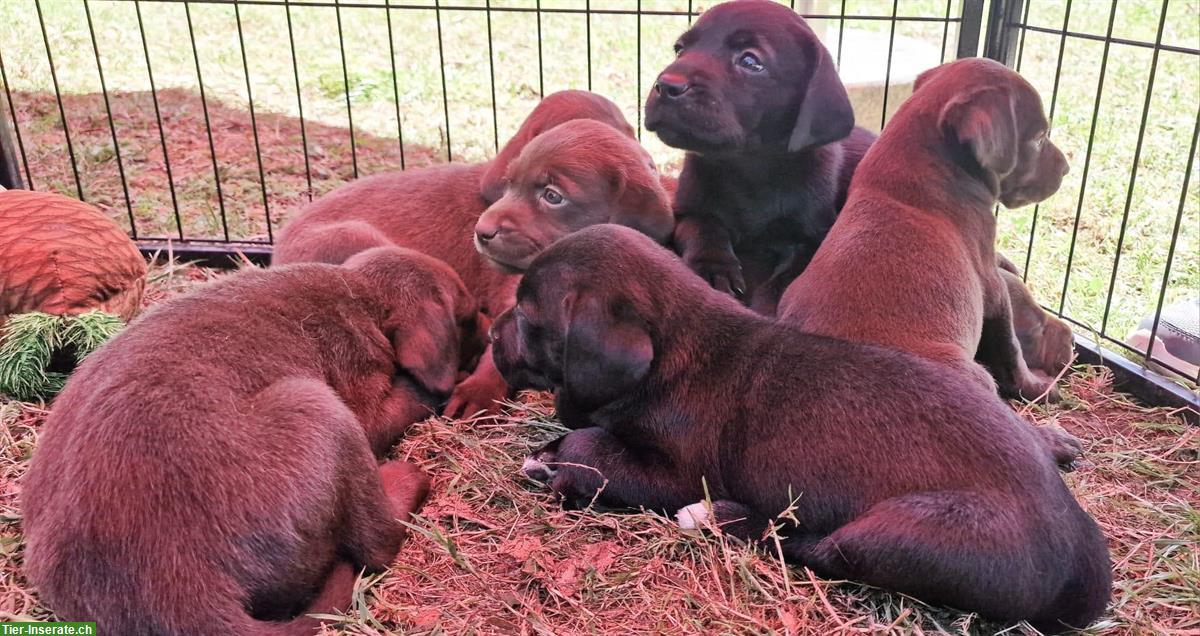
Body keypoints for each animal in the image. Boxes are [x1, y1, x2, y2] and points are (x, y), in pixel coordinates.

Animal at [22, 247, 487, 633]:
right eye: (467, 315)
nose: (491, 337)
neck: (359, 296)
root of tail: (181, 595)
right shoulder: (362, 399)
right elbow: (411, 394)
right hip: (315, 404)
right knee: (377, 544)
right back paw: (405, 479)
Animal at [492, 225, 1108, 628]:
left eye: (526, 316)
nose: (493, 334)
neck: (673, 346)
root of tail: (1083, 556)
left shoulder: (673, 474)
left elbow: (596, 445)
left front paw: (559, 460)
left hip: (904, 532)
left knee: (815, 547)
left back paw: (721, 518)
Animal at [648, 0, 873, 312]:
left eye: (750, 61)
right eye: (680, 50)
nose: (666, 84)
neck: (749, 166)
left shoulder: (814, 236)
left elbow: (787, 278)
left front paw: (766, 305)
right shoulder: (688, 210)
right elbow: (703, 228)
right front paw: (715, 268)